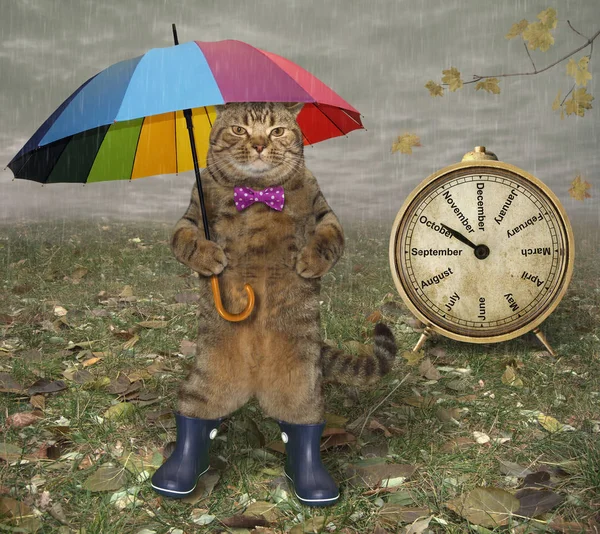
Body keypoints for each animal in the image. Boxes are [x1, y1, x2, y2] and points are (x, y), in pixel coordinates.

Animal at [152, 102, 396, 508]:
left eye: (277, 131)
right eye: (239, 129)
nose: (260, 145)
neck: (257, 194)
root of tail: (254, 383)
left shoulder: (325, 211)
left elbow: (329, 237)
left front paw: (309, 261)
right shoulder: (191, 214)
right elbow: (185, 239)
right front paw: (209, 257)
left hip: (303, 389)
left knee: (300, 430)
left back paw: (312, 481)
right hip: (206, 381)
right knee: (195, 418)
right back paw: (178, 474)